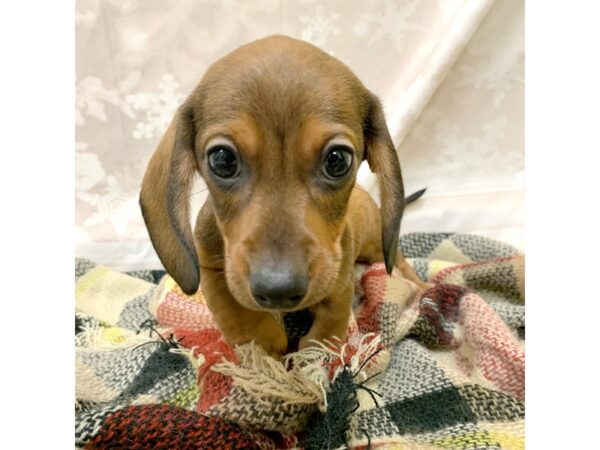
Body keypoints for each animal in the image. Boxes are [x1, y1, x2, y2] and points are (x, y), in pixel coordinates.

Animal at [141, 35, 426, 356]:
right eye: (222, 160)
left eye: (338, 160)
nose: (279, 289)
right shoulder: (210, 265)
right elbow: (232, 306)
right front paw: (262, 341)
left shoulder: (338, 275)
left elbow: (330, 321)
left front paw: (314, 351)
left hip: (376, 245)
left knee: (398, 259)